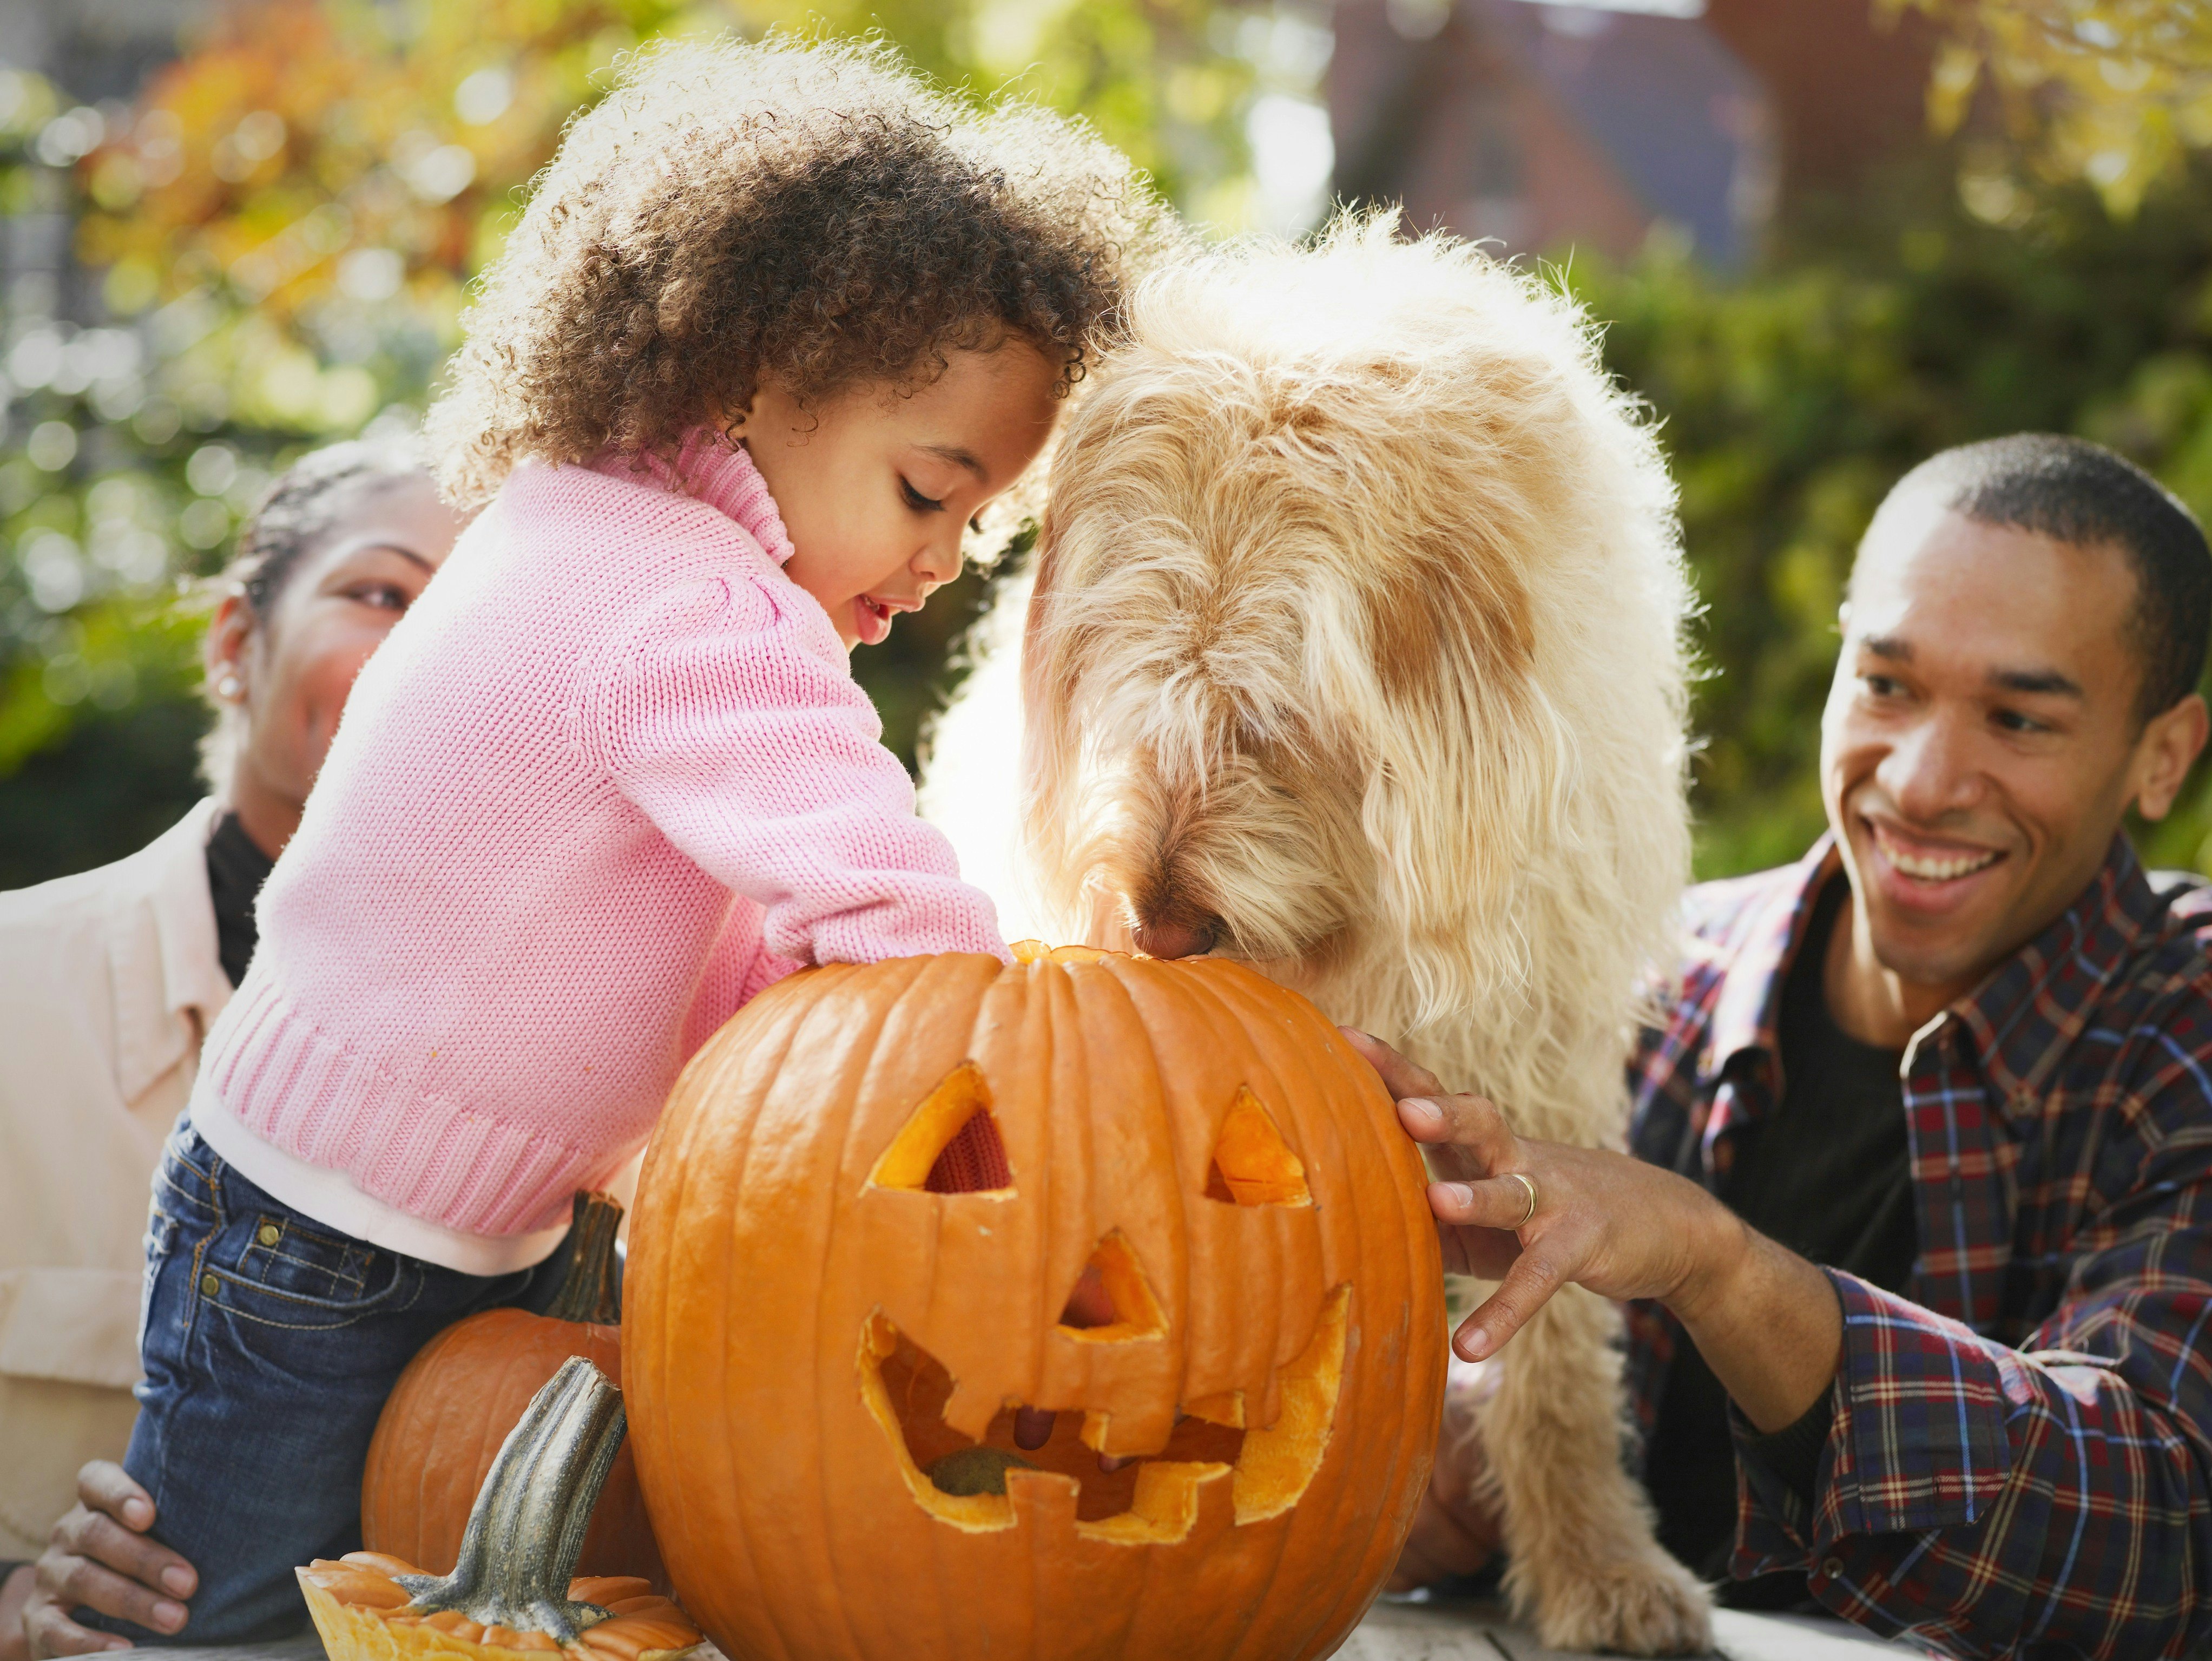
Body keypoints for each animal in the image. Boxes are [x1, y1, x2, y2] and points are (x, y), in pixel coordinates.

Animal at [916, 214, 1707, 1654]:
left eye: (1272, 721)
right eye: (1134, 696)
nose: (1160, 924)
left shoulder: (1542, 1053)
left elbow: (1558, 1341)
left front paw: (1600, 1563)